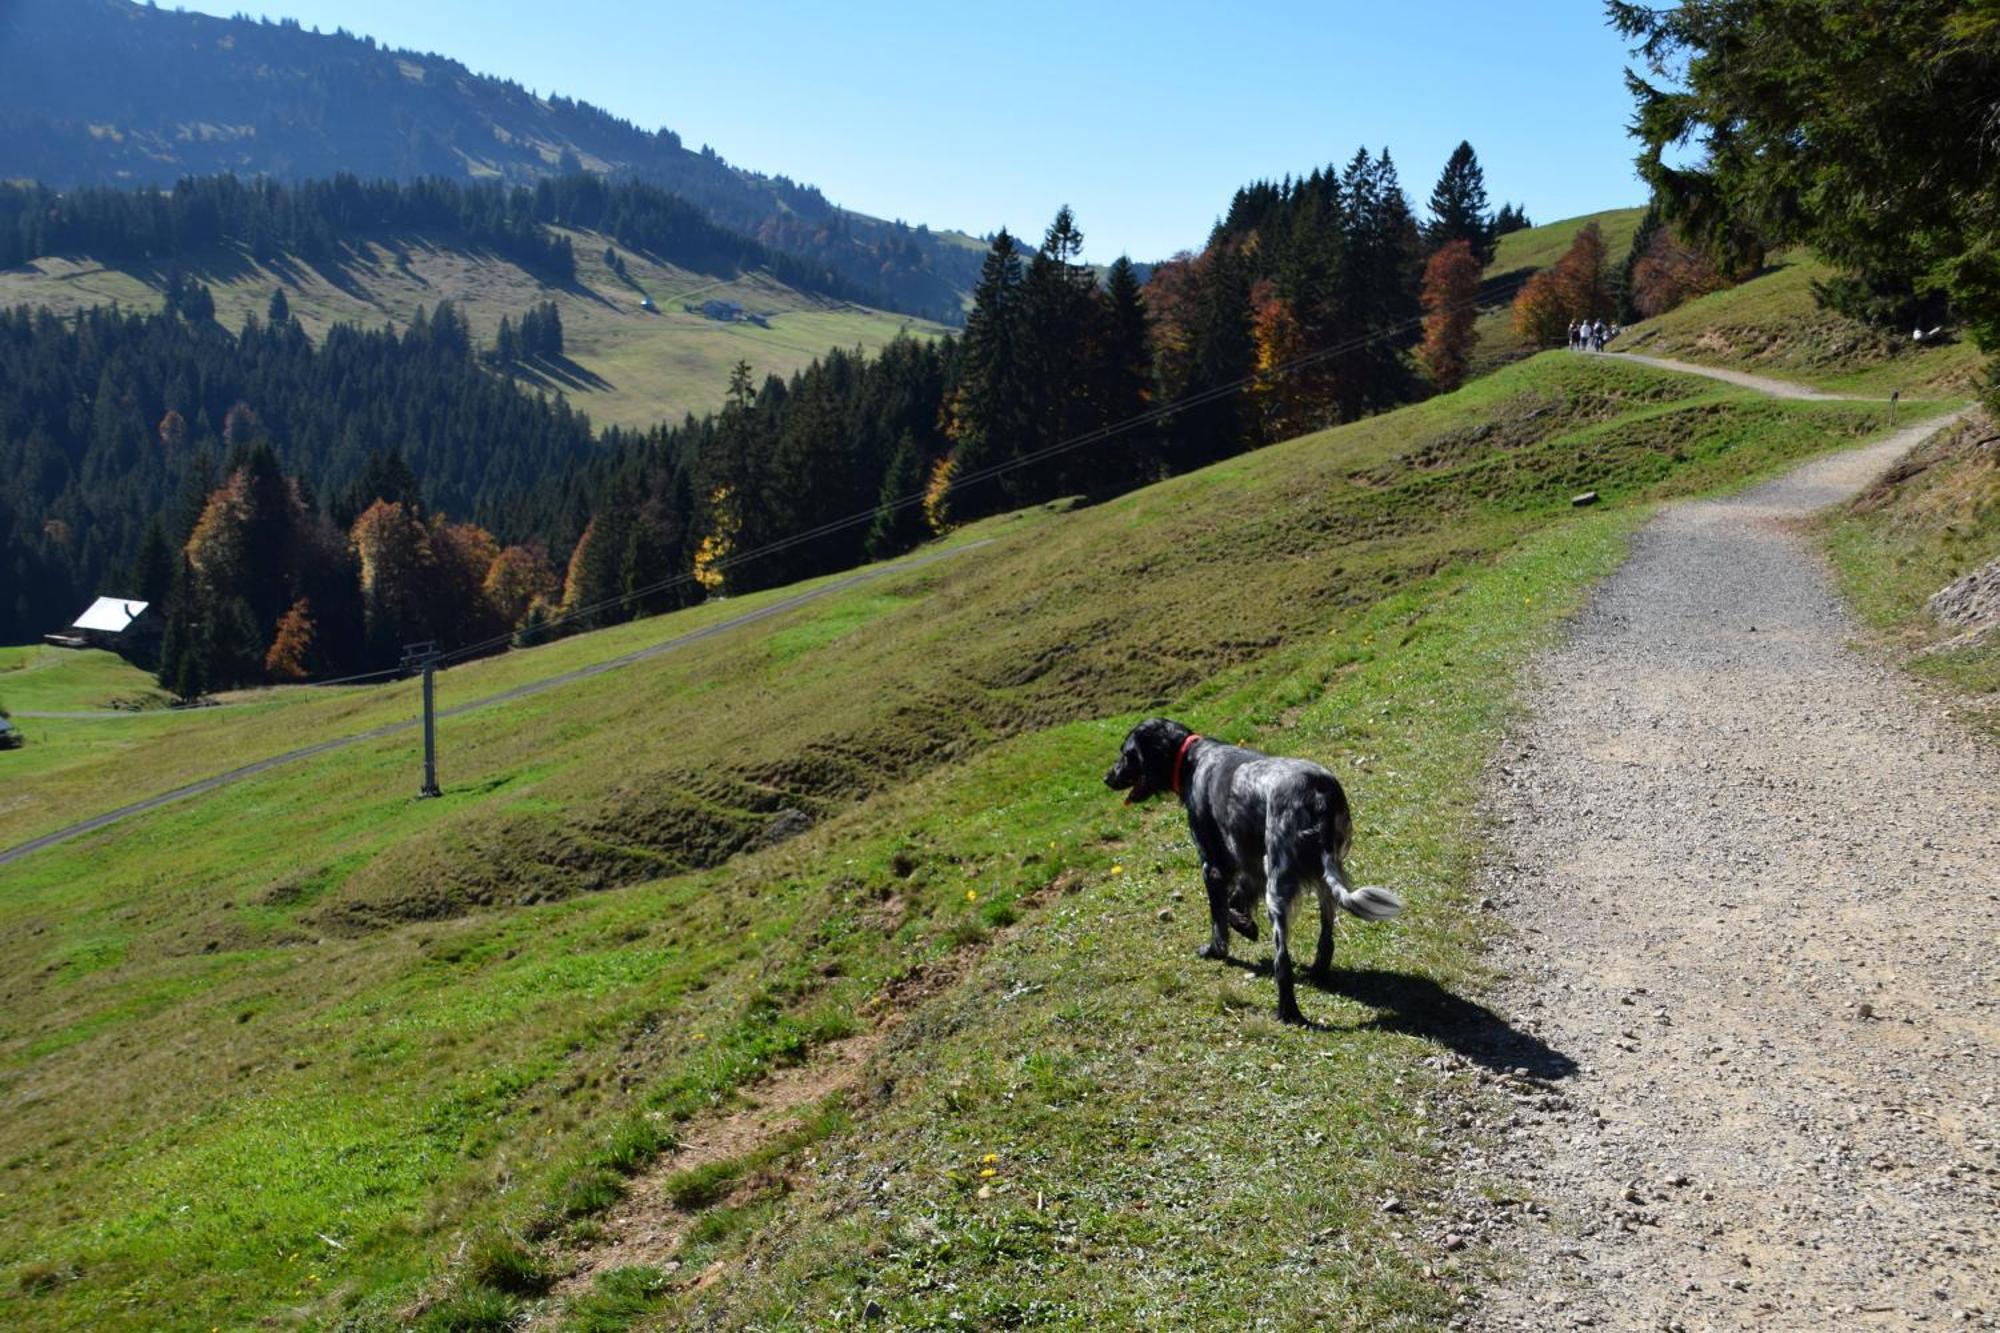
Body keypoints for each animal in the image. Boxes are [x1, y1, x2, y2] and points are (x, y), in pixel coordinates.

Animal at [1112, 716, 1408, 1016]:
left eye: (1126, 754)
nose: (1107, 778)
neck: (1192, 759)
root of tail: (1317, 794)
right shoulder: (1249, 865)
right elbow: (1235, 901)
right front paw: (1245, 925)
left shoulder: (1212, 865)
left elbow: (1219, 917)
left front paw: (1217, 948)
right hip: (1323, 877)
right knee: (1326, 936)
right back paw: (1317, 972)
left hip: (1277, 887)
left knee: (1282, 960)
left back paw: (1288, 1012)